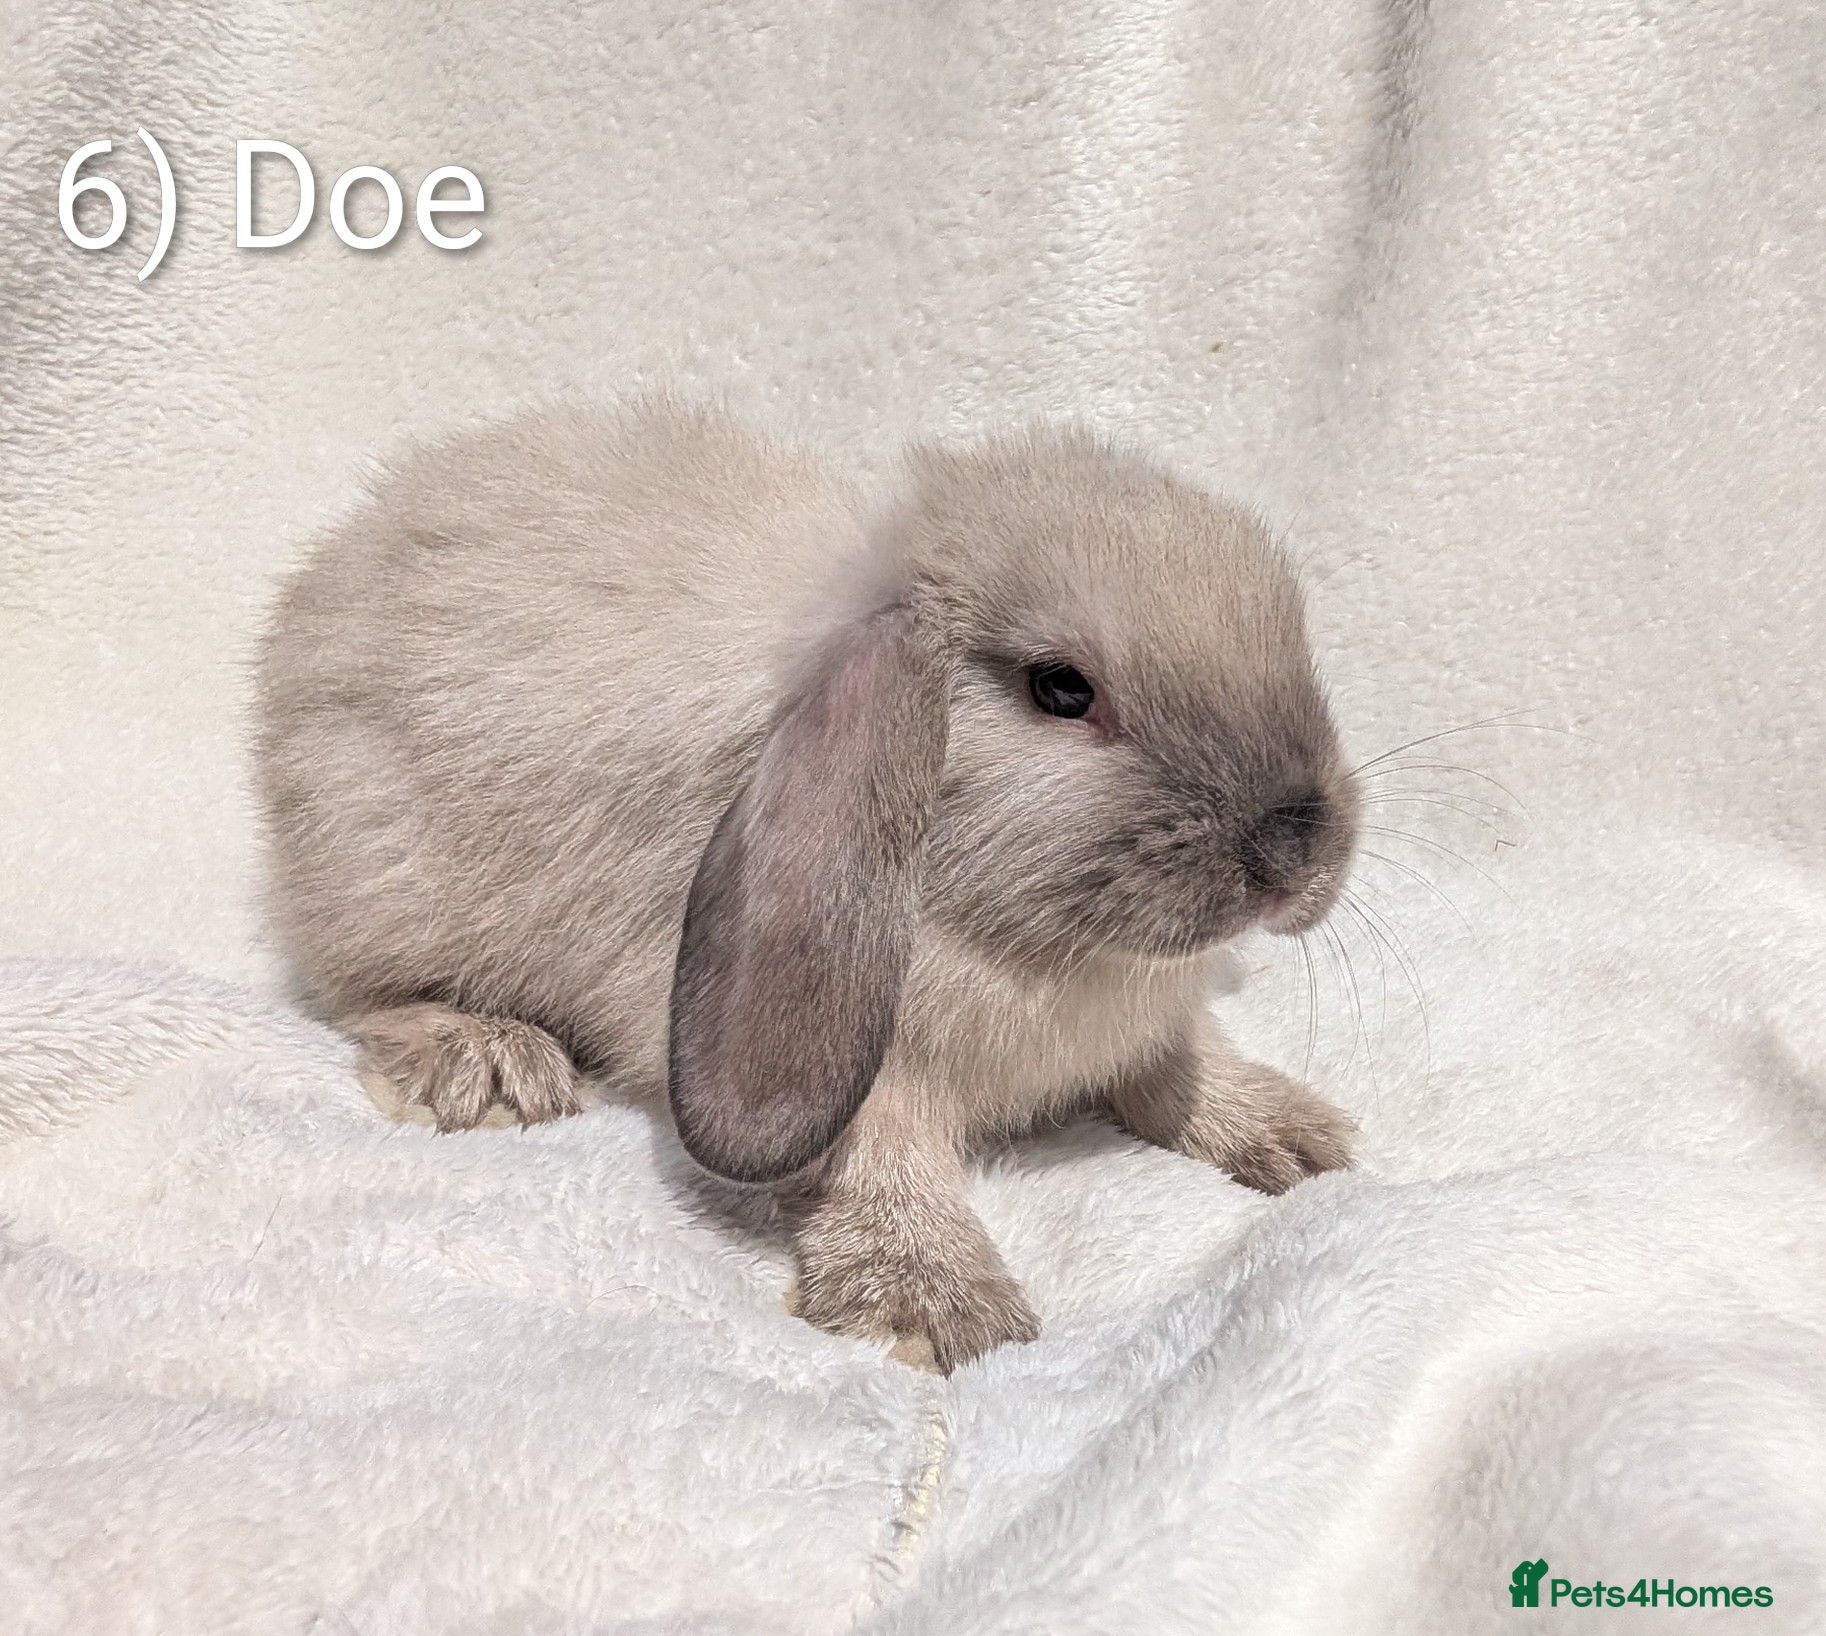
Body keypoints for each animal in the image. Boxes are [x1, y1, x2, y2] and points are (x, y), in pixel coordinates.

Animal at [254, 398, 1360, 1372]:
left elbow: (1181, 1068)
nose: (1298, 849)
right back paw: (490, 1064)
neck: (1033, 944)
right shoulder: (860, 1067)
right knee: (358, 995)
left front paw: (1296, 1142)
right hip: (382, 872)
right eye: (1059, 689)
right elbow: (880, 1163)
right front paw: (937, 1310)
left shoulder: (1148, 1025)